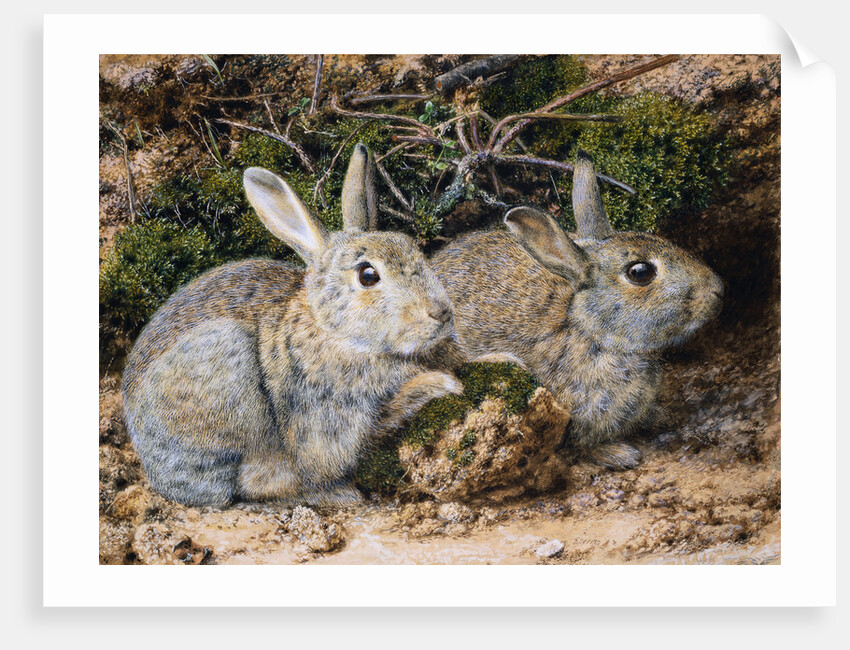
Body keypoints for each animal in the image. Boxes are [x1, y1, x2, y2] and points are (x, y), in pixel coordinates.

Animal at [122, 143, 462, 507]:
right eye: (368, 275)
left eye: (412, 247)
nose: (441, 312)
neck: (332, 331)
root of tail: (151, 464)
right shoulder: (328, 418)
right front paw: (442, 384)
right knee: (253, 483)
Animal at [430, 150, 723, 470]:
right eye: (640, 272)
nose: (717, 290)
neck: (589, 330)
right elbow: (584, 448)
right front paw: (621, 454)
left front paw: (660, 415)